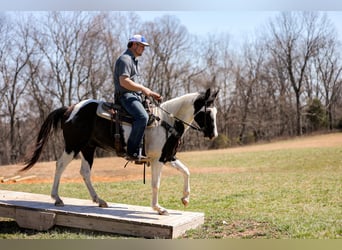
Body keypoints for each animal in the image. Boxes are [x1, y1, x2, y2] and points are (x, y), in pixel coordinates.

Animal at [22, 88, 219, 215]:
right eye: (207, 112)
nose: (213, 134)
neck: (166, 121)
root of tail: (69, 109)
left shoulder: (168, 156)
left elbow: (186, 171)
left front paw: (185, 198)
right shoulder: (157, 160)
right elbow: (156, 184)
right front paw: (158, 208)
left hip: (88, 148)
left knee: (84, 171)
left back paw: (99, 200)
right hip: (73, 146)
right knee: (60, 165)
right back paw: (57, 198)